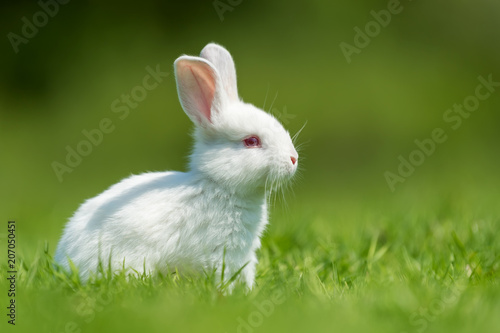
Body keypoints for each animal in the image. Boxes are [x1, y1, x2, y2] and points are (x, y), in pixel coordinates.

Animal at [54, 42, 296, 288]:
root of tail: (64, 259)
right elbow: (223, 276)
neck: (219, 185)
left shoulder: (244, 255)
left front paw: (248, 292)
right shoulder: (221, 251)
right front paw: (227, 293)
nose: (293, 159)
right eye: (251, 141)